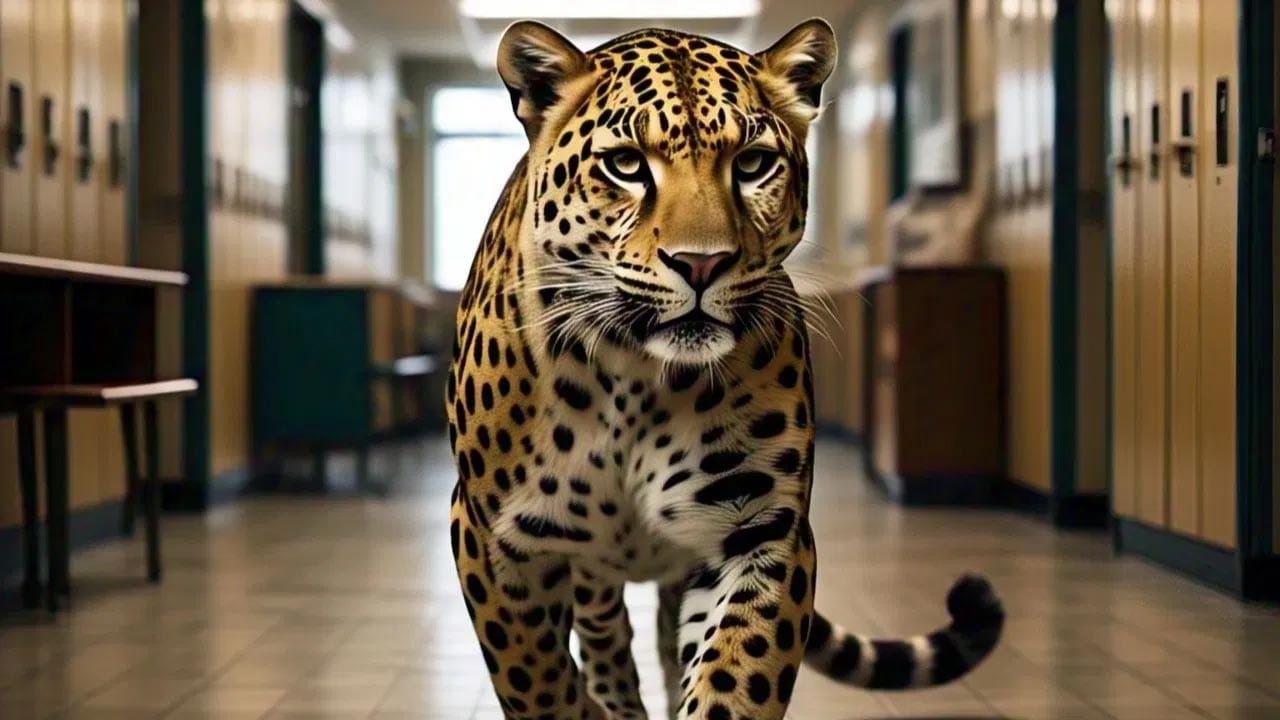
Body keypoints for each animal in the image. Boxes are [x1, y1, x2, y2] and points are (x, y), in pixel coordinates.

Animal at [446, 18, 1005, 720]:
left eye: (752, 163)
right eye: (626, 165)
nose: (702, 264)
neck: (632, 377)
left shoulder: (760, 529)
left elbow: (733, 678)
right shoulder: (493, 541)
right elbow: (539, 680)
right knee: (605, 631)